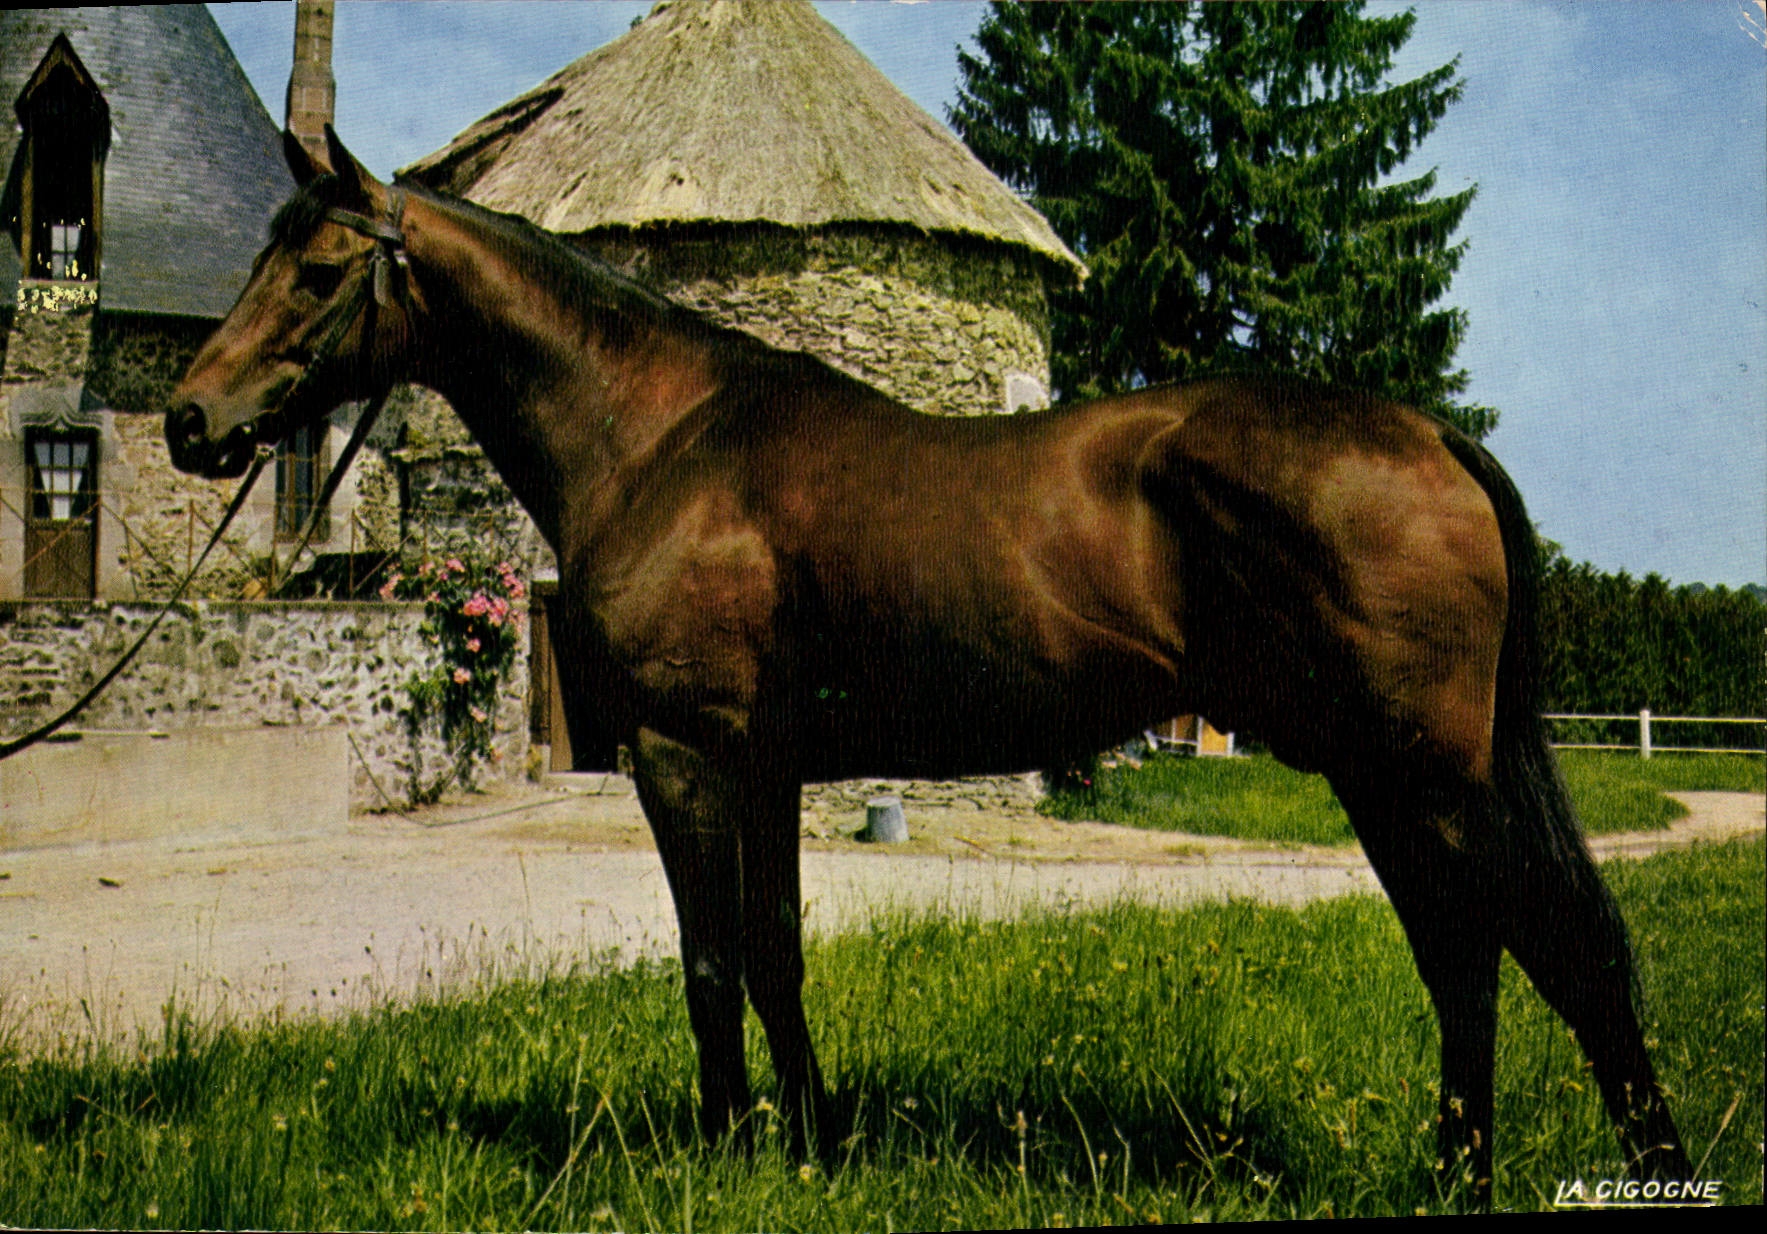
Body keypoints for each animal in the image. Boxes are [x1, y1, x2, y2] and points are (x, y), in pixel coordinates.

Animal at [168, 128, 1690, 1201]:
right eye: (255, 255)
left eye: (320, 270)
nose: (193, 419)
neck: (664, 437)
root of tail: (1426, 437)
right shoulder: (768, 765)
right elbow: (774, 955)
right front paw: (807, 1148)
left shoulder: (683, 753)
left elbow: (708, 962)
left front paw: (728, 1146)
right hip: (1387, 775)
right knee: (1491, 956)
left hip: (1417, 771)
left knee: (1535, 951)